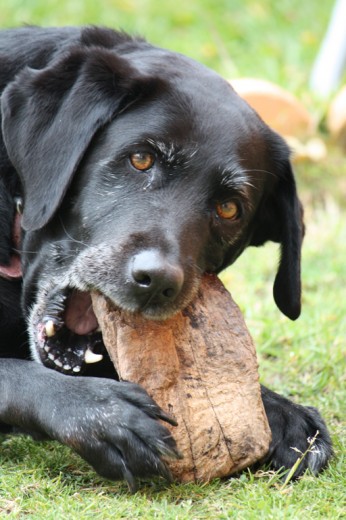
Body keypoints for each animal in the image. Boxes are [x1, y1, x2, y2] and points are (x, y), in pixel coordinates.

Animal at [1, 26, 334, 490]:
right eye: (141, 158)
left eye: (229, 208)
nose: (156, 280)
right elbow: (10, 371)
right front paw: (99, 412)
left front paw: (281, 411)